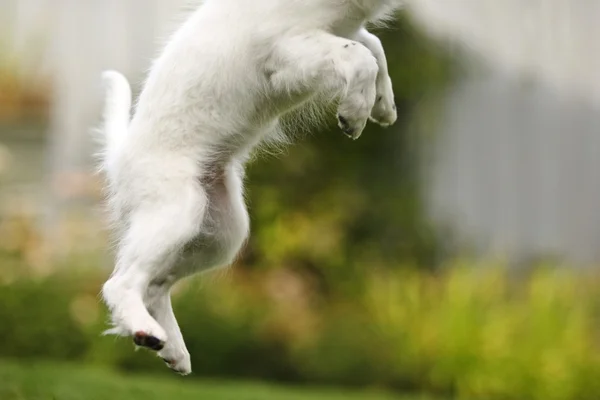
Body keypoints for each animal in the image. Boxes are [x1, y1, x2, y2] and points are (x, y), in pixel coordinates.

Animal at [99, 0, 398, 376]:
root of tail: (119, 159)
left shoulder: (343, 31)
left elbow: (375, 47)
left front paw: (384, 106)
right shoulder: (288, 50)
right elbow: (360, 56)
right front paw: (355, 113)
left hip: (222, 233)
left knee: (154, 285)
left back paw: (172, 349)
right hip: (178, 210)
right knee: (121, 283)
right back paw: (144, 329)